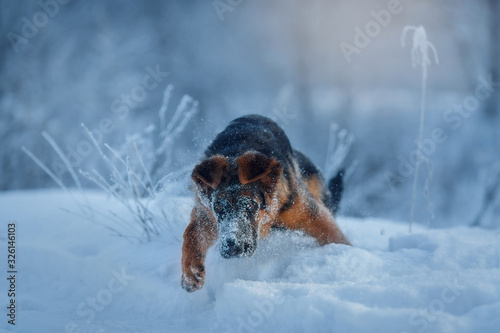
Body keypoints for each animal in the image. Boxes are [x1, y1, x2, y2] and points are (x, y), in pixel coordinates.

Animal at [182, 114, 350, 290]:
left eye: (250, 204)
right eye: (219, 206)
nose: (233, 247)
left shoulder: (313, 216)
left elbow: (338, 238)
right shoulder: (207, 214)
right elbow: (191, 234)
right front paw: (190, 271)